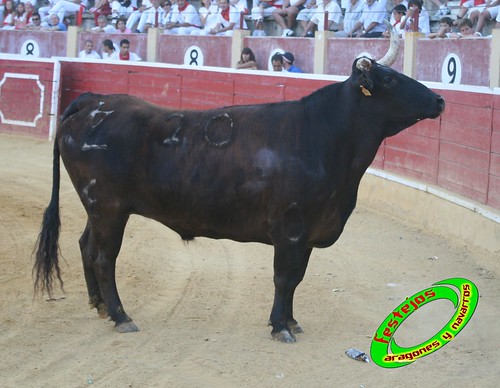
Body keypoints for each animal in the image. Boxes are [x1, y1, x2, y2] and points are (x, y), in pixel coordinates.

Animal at [33, 58, 444, 342]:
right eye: (389, 79)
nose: (439, 100)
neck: (323, 135)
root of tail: (94, 101)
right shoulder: (291, 229)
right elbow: (284, 278)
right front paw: (281, 327)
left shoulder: (307, 235)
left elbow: (296, 278)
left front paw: (292, 321)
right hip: (109, 208)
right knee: (104, 257)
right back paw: (121, 316)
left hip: (99, 210)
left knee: (86, 245)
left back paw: (100, 306)